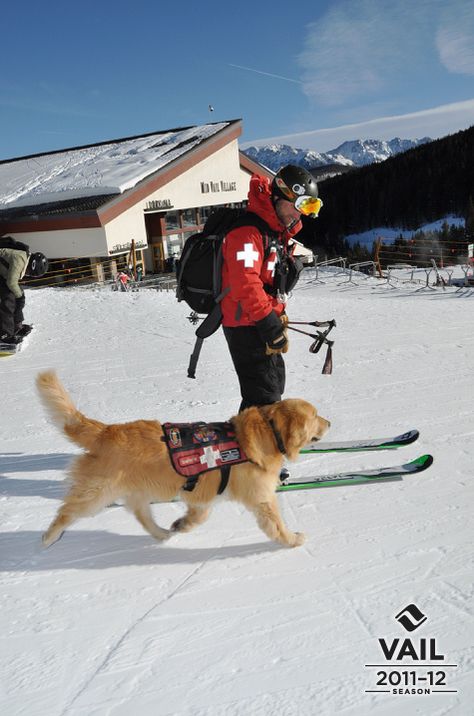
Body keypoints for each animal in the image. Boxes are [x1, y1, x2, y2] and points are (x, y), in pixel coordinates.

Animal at [36, 370, 330, 548]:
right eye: (315, 415)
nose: (330, 422)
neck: (270, 431)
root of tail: (105, 430)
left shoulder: (205, 493)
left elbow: (198, 515)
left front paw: (181, 524)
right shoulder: (261, 498)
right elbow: (276, 525)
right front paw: (293, 539)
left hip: (139, 491)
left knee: (141, 515)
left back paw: (162, 533)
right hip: (97, 494)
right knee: (66, 512)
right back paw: (48, 537)